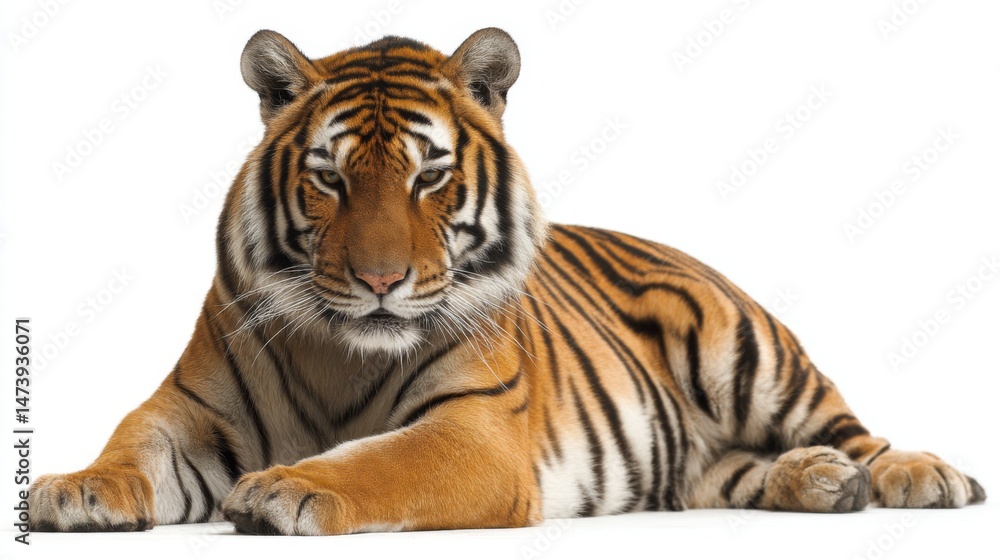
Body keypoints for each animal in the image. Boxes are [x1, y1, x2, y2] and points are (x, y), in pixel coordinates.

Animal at [29, 28, 985, 535]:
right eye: (330, 178)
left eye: (429, 177)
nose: (380, 279)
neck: (344, 352)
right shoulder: (188, 408)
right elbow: (131, 441)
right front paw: (74, 488)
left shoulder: (474, 430)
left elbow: (381, 460)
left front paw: (287, 487)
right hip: (701, 459)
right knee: (730, 472)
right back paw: (821, 483)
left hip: (747, 350)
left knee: (855, 431)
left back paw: (915, 477)